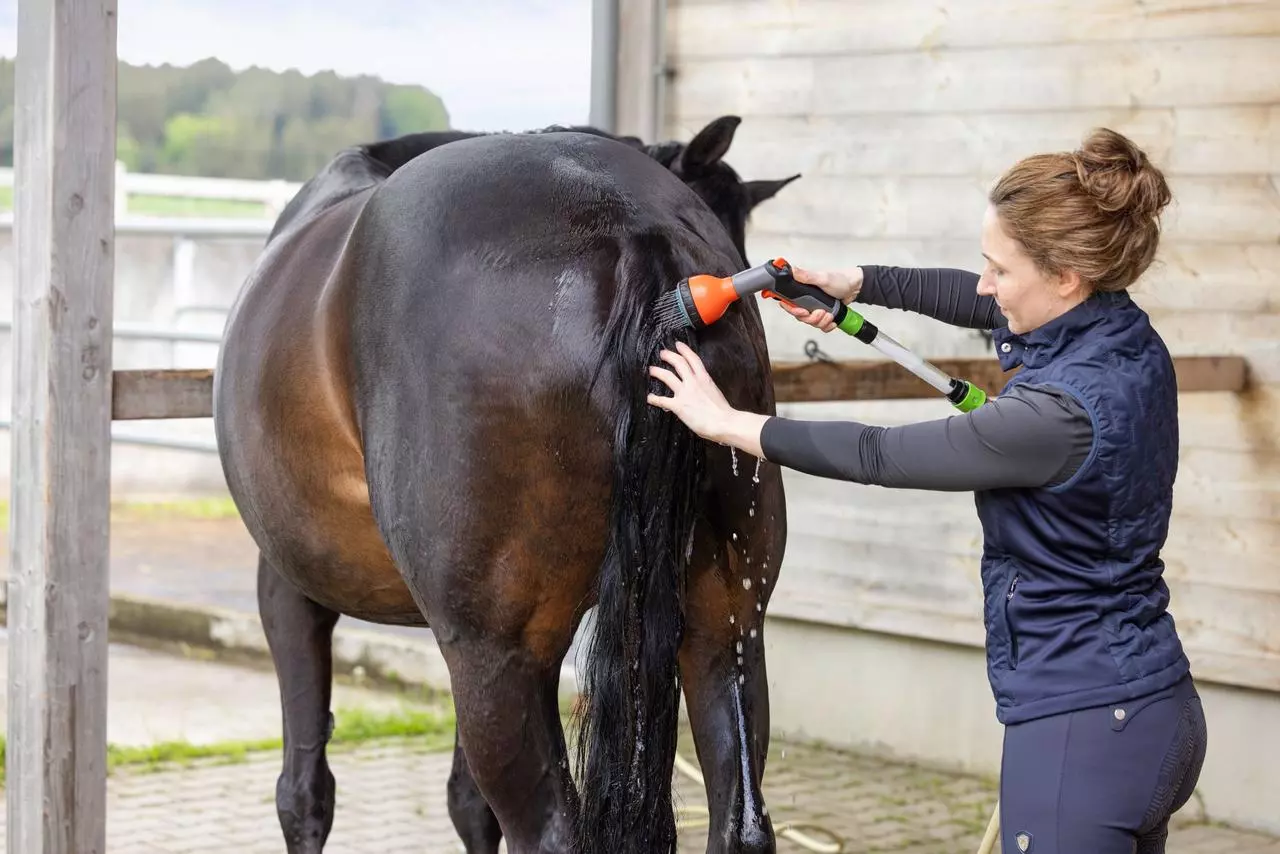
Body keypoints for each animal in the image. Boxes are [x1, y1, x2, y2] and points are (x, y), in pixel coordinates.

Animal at [212, 115, 800, 854]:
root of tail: (634, 229)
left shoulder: (292, 591)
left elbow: (305, 792)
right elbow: (467, 803)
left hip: (493, 659)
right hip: (727, 626)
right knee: (741, 817)